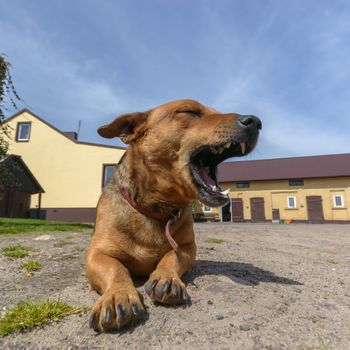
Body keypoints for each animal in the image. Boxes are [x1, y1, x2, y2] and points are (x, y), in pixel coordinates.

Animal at [85, 98, 260, 330]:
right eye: (189, 111)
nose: (255, 121)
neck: (156, 209)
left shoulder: (187, 247)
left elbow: (171, 257)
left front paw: (165, 276)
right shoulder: (96, 254)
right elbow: (115, 268)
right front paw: (117, 295)